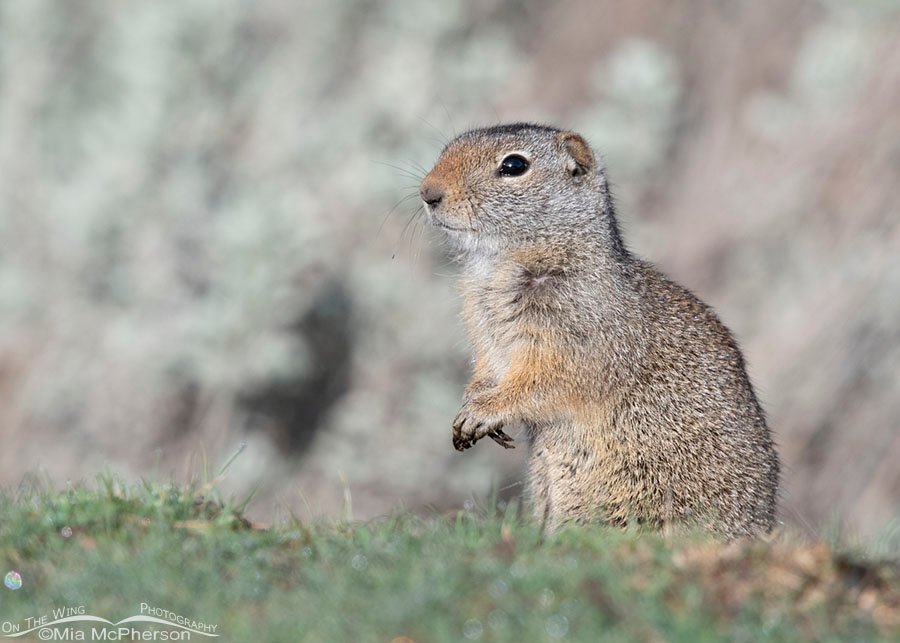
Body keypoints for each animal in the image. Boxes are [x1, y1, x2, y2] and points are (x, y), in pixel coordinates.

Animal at [419, 123, 779, 538]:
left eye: (513, 165)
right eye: (447, 149)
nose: (428, 192)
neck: (497, 267)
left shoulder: (581, 331)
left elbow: (545, 381)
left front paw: (484, 411)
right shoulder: (483, 330)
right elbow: (486, 369)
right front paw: (469, 405)